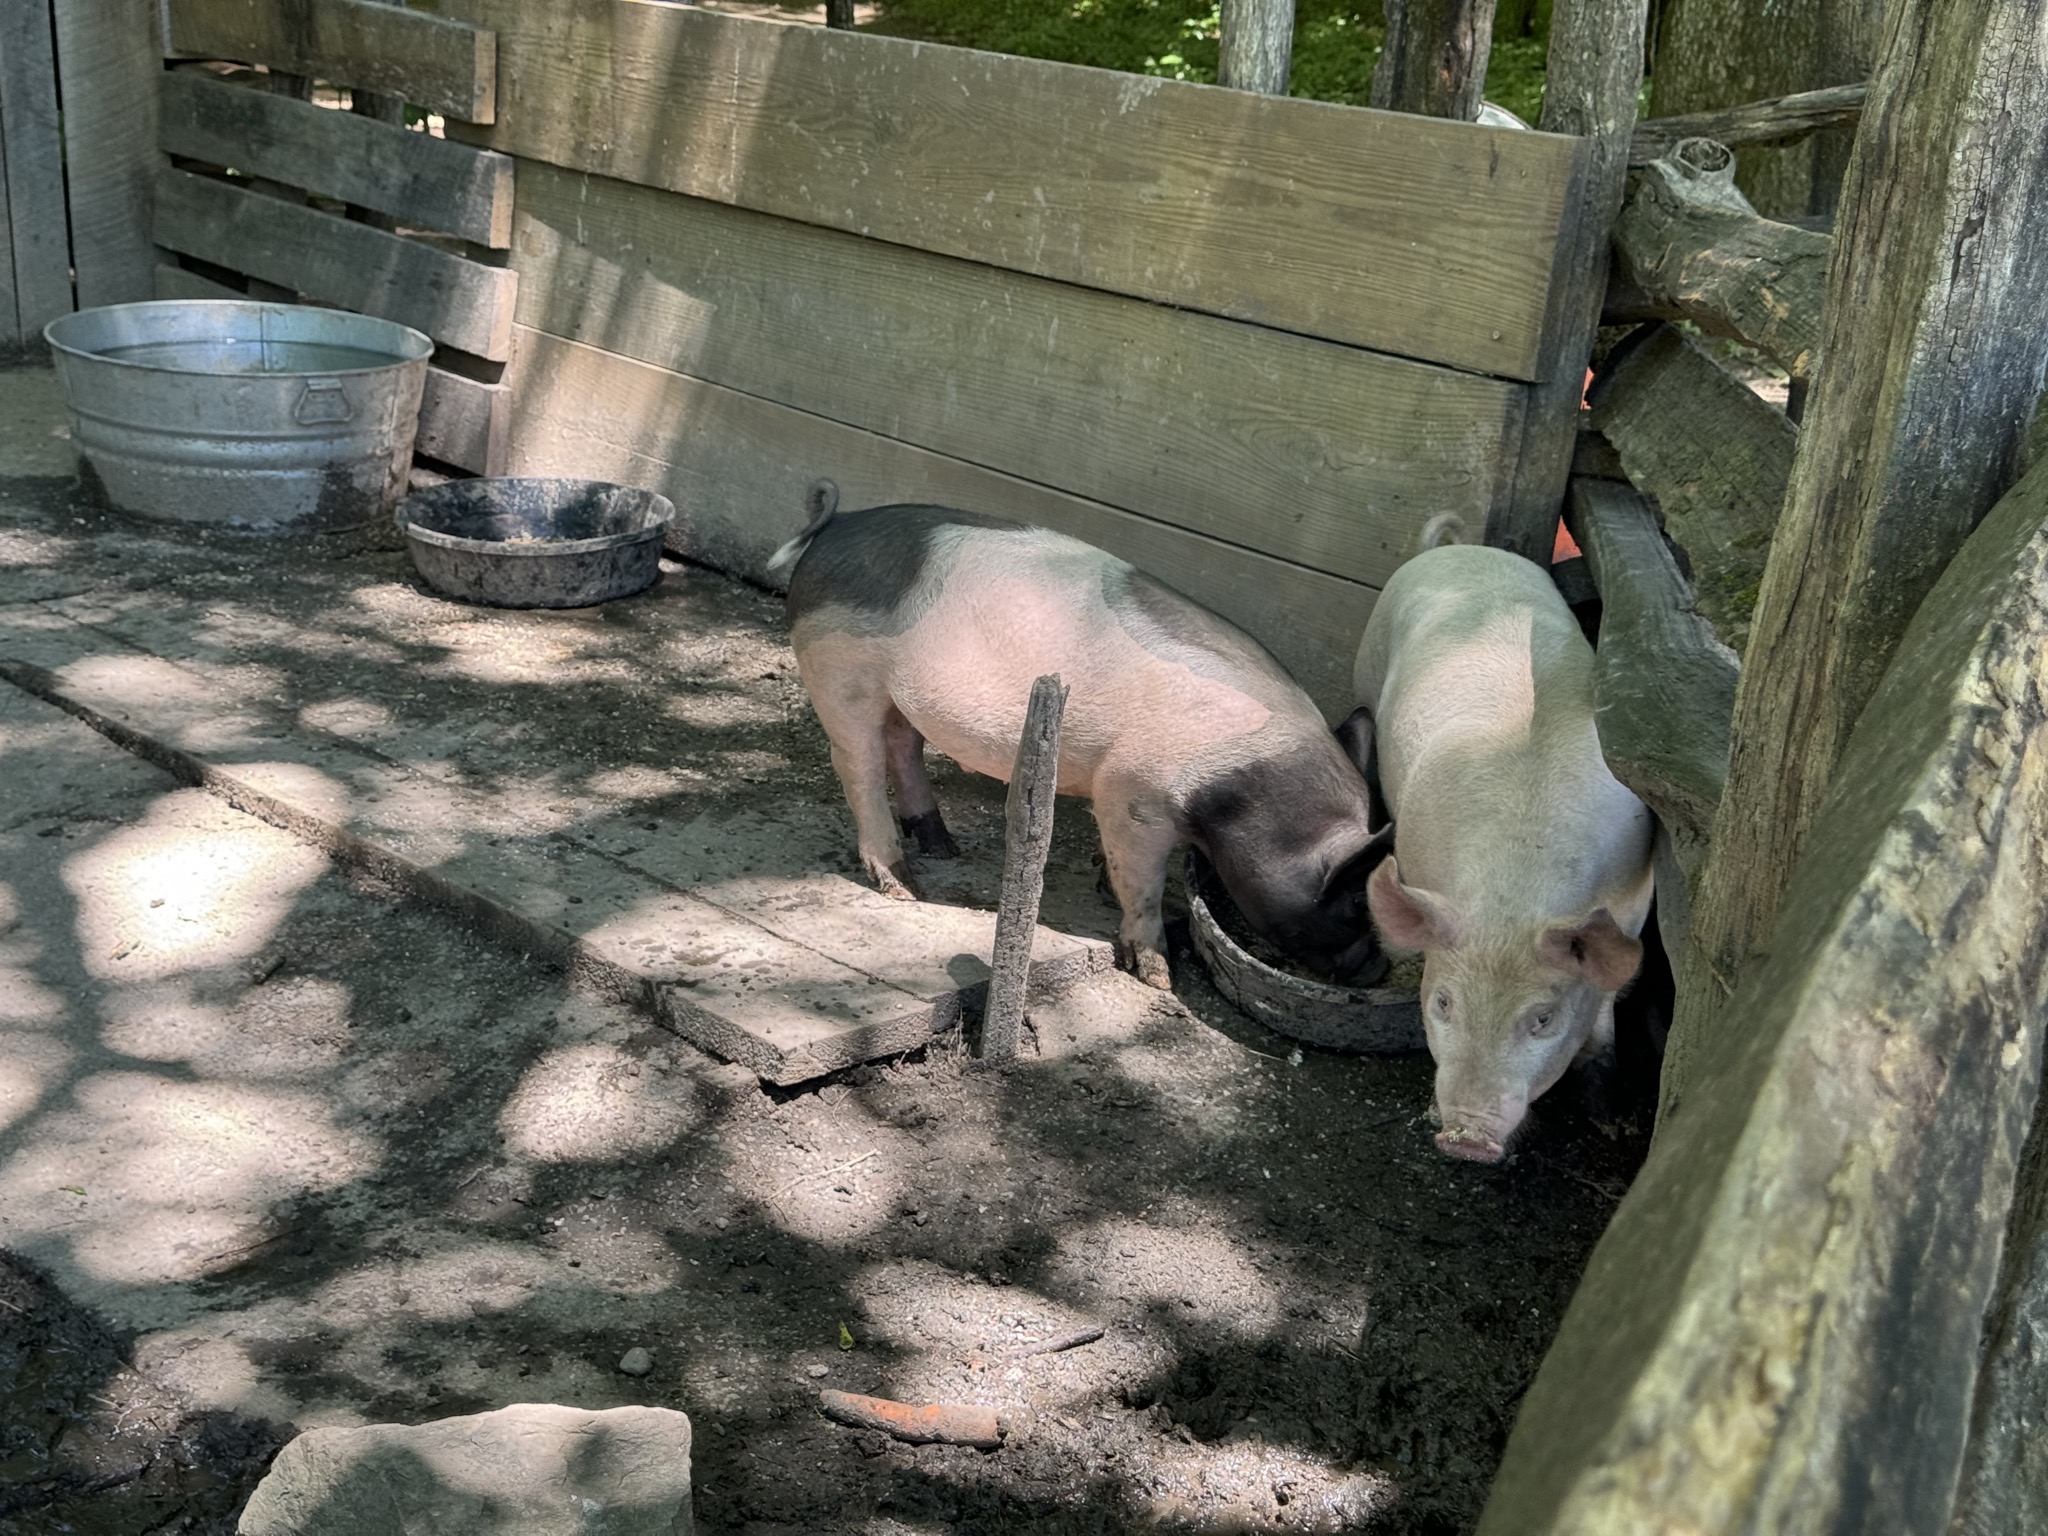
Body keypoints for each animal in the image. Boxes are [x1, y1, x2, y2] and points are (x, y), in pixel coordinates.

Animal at [768, 481, 1393, 990]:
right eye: (1352, 900)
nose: (1378, 969)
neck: (1237, 782)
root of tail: (836, 525)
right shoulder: (1132, 792)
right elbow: (1142, 880)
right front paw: (1156, 975)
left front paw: (1101, 884)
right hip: (841, 671)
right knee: (857, 761)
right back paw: (904, 884)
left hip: (899, 695)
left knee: (904, 746)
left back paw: (943, 845)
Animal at [1353, 542, 1654, 1163]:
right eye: (1444, 1003)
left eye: (1542, 1018)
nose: (1467, 1139)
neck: (1514, 898)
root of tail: (1460, 546)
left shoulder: (1639, 892)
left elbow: (1610, 994)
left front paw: (1609, 1113)